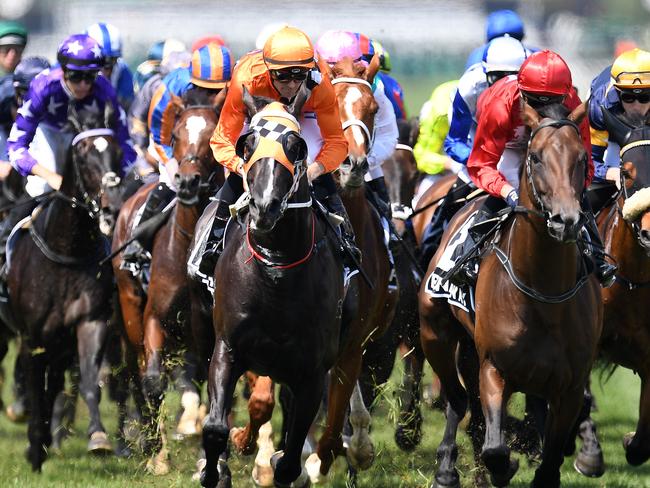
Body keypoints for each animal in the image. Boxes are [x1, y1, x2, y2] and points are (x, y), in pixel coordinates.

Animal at [6, 104, 123, 472]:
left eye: (118, 151)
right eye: (83, 155)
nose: (112, 207)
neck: (65, 251)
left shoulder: (89, 322)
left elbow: (87, 380)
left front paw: (98, 437)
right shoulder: (32, 336)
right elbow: (34, 386)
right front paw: (33, 447)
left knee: (57, 381)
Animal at [112, 91, 221, 472]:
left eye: (213, 136)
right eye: (175, 135)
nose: (187, 182)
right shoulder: (155, 319)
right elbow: (153, 381)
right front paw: (156, 454)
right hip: (129, 310)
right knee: (138, 370)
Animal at [201, 87, 344, 488]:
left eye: (296, 146)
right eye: (247, 144)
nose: (265, 207)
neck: (276, 271)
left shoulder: (312, 373)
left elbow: (291, 459)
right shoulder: (228, 347)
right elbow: (215, 428)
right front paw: (214, 469)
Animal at [418, 101, 600, 486]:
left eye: (582, 158)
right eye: (535, 157)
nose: (566, 220)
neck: (543, 294)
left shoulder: (570, 386)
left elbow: (547, 462)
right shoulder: (495, 369)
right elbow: (496, 450)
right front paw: (502, 464)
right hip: (434, 333)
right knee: (458, 398)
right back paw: (446, 468)